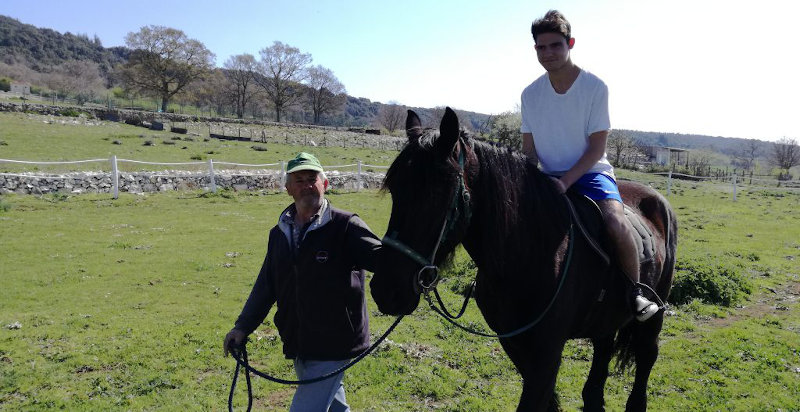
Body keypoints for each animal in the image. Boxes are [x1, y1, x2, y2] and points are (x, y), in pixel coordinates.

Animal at [370, 107, 677, 411]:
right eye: (395, 189)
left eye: (437, 192)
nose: (386, 290)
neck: (530, 255)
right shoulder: (514, 344)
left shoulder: (548, 351)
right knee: (603, 350)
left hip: (654, 312)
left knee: (647, 354)